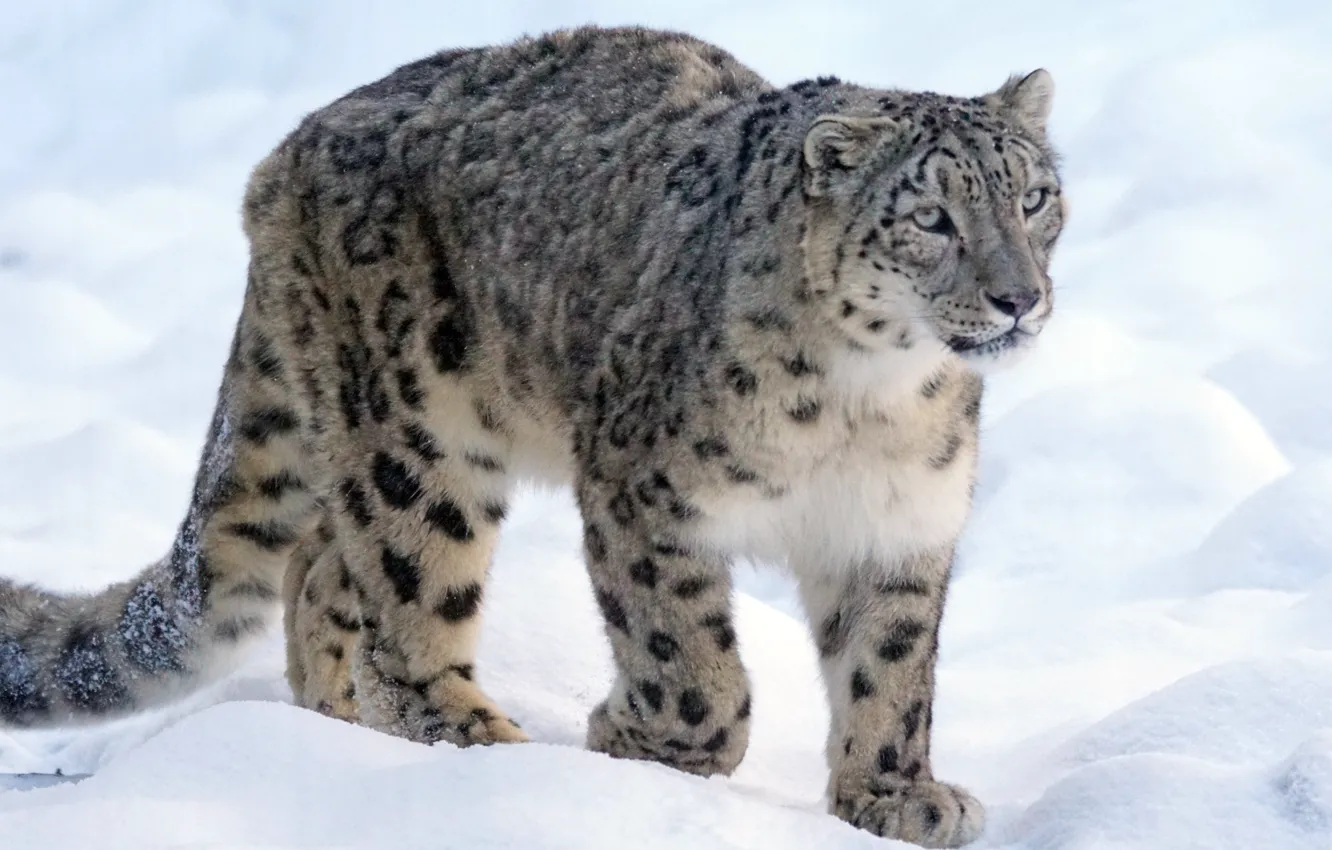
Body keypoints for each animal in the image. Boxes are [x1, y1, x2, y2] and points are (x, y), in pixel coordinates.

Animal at [0, 25, 1065, 848]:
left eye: (1035, 198)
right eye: (931, 216)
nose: (1019, 296)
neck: (869, 403)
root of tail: (287, 152)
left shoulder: (898, 525)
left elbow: (891, 668)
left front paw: (894, 795)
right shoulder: (646, 495)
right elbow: (690, 662)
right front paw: (639, 745)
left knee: (322, 569)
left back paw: (335, 734)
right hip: (417, 443)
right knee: (406, 603)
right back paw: (482, 757)